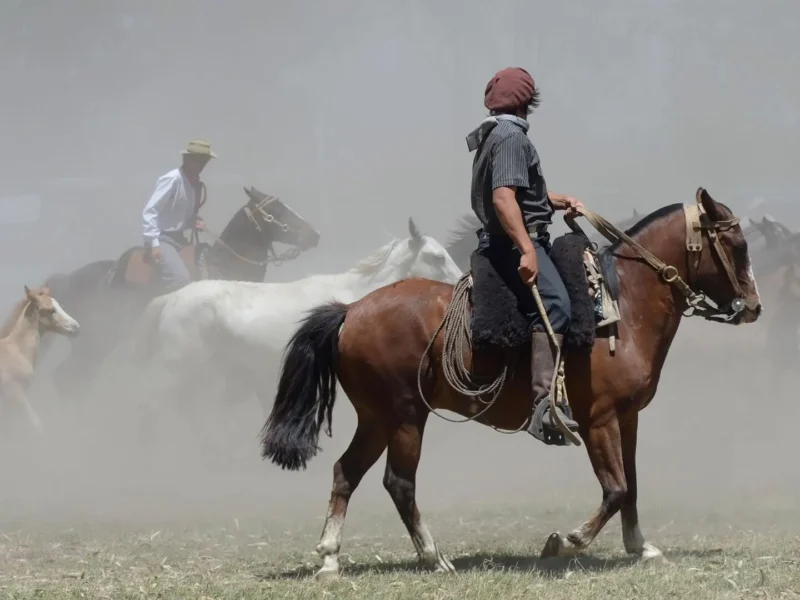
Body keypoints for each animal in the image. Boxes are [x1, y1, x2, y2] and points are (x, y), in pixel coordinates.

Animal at [0, 286, 79, 436]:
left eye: (59, 305)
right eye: (50, 310)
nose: (76, 327)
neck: (15, 350)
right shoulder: (15, 395)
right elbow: (35, 424)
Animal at [37, 186, 318, 404]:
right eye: (277, 210)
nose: (314, 235)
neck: (224, 267)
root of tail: (67, 280)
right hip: (95, 343)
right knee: (67, 379)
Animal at [260, 189, 764, 580]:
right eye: (737, 244)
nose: (755, 306)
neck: (622, 307)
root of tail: (351, 310)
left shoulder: (627, 418)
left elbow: (633, 484)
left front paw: (641, 546)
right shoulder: (598, 420)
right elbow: (616, 488)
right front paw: (566, 541)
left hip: (376, 418)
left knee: (346, 472)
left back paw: (330, 559)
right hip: (405, 416)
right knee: (398, 483)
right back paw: (433, 557)